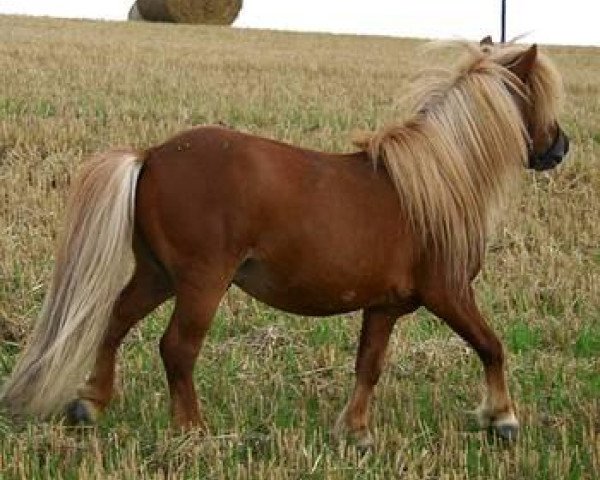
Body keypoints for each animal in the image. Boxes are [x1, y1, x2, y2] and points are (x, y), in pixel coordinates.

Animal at [2, 37, 568, 446]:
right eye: (538, 96)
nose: (562, 146)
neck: (434, 181)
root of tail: (152, 154)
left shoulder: (383, 306)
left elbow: (369, 366)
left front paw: (356, 433)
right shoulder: (448, 293)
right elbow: (491, 346)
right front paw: (503, 418)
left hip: (157, 274)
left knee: (116, 321)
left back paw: (90, 404)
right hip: (202, 282)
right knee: (177, 347)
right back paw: (194, 431)